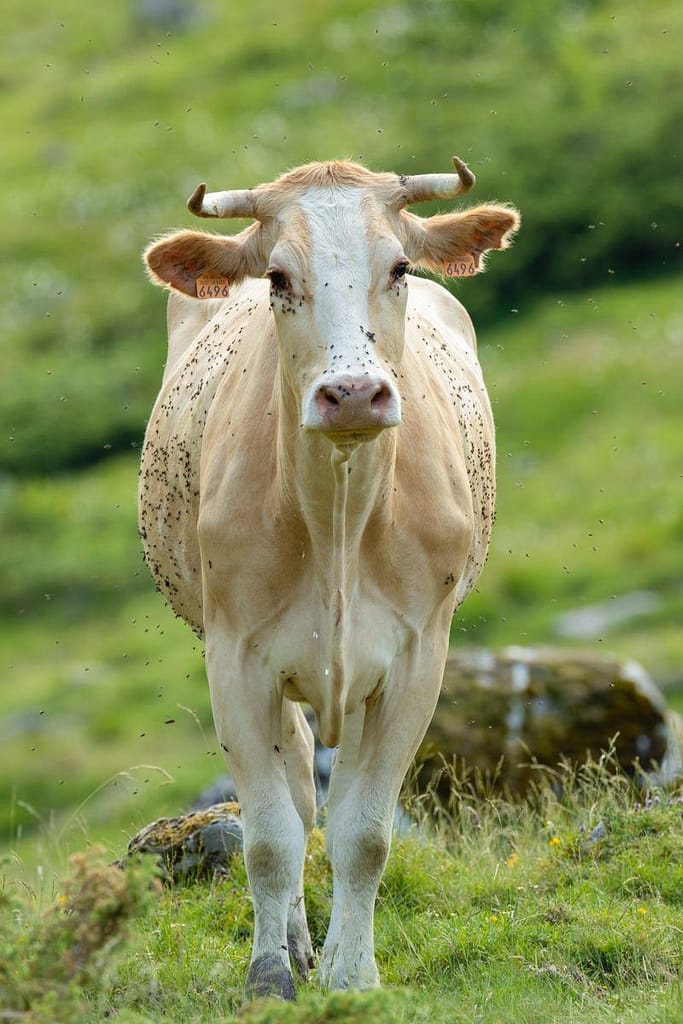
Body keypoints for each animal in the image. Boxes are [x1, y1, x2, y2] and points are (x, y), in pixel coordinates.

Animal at [139, 156, 519, 1000]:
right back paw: (294, 942)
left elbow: (365, 832)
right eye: (279, 276)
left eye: (399, 266)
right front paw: (270, 977)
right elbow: (271, 835)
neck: (340, 519)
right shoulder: (235, 661)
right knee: (298, 798)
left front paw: (352, 976)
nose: (351, 395)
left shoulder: (416, 663)